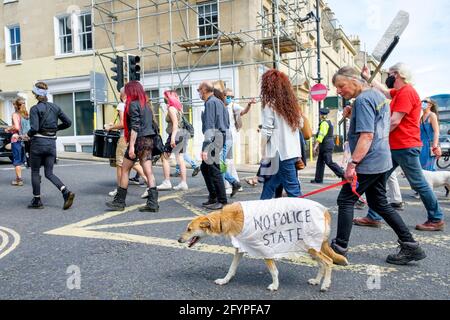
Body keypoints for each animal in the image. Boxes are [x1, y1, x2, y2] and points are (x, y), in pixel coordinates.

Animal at [178, 199, 348, 292]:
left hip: (310, 246)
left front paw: (275, 286)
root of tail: (325, 211)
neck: (226, 217)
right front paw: (224, 281)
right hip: (311, 247)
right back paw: (317, 281)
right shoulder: (240, 247)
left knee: (328, 262)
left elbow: (274, 271)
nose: (179, 240)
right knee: (322, 264)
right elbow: (232, 268)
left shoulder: (264, 248)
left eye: (189, 229)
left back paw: (325, 284)